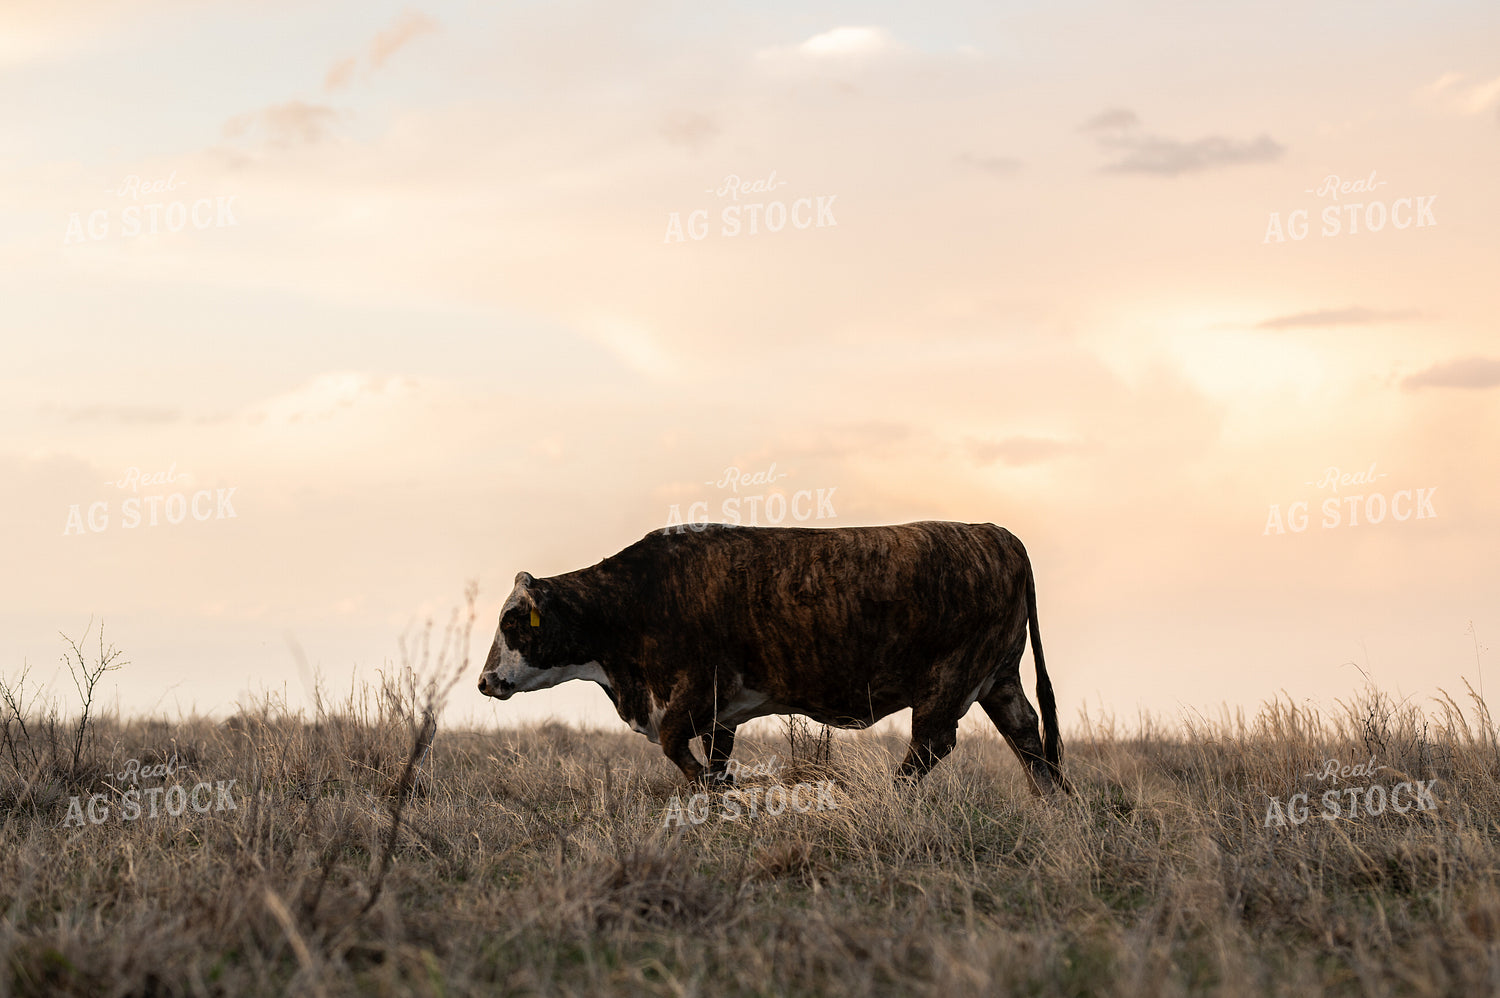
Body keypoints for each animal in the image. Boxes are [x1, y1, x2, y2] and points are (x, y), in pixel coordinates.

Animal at [477, 521, 1068, 794]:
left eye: (512, 621)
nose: (485, 681)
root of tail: (993, 532)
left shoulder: (692, 691)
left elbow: (677, 749)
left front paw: (716, 792)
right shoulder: (720, 712)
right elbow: (714, 757)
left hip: (948, 682)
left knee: (931, 745)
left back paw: (890, 797)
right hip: (999, 678)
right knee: (1026, 734)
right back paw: (1056, 803)